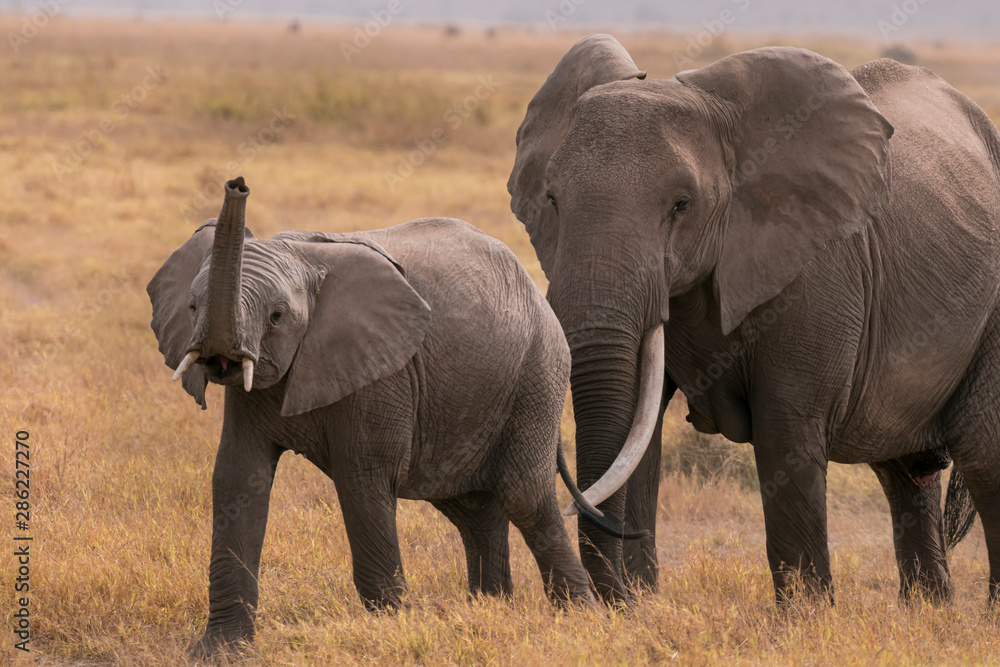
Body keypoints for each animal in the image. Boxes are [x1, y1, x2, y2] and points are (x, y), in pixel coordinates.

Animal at [147, 177, 615, 656]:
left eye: (276, 316)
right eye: (191, 307)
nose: (237, 184)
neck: (300, 254)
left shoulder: (383, 372)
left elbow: (363, 479)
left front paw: (392, 631)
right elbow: (238, 477)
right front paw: (219, 651)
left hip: (537, 372)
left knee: (524, 495)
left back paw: (582, 619)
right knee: (473, 511)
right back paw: (491, 611)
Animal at [508, 35, 992, 607]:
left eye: (682, 205)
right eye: (552, 199)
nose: (620, 599)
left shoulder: (817, 271)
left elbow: (785, 429)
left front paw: (806, 615)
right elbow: (638, 430)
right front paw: (645, 605)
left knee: (983, 456)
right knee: (905, 472)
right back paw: (927, 610)